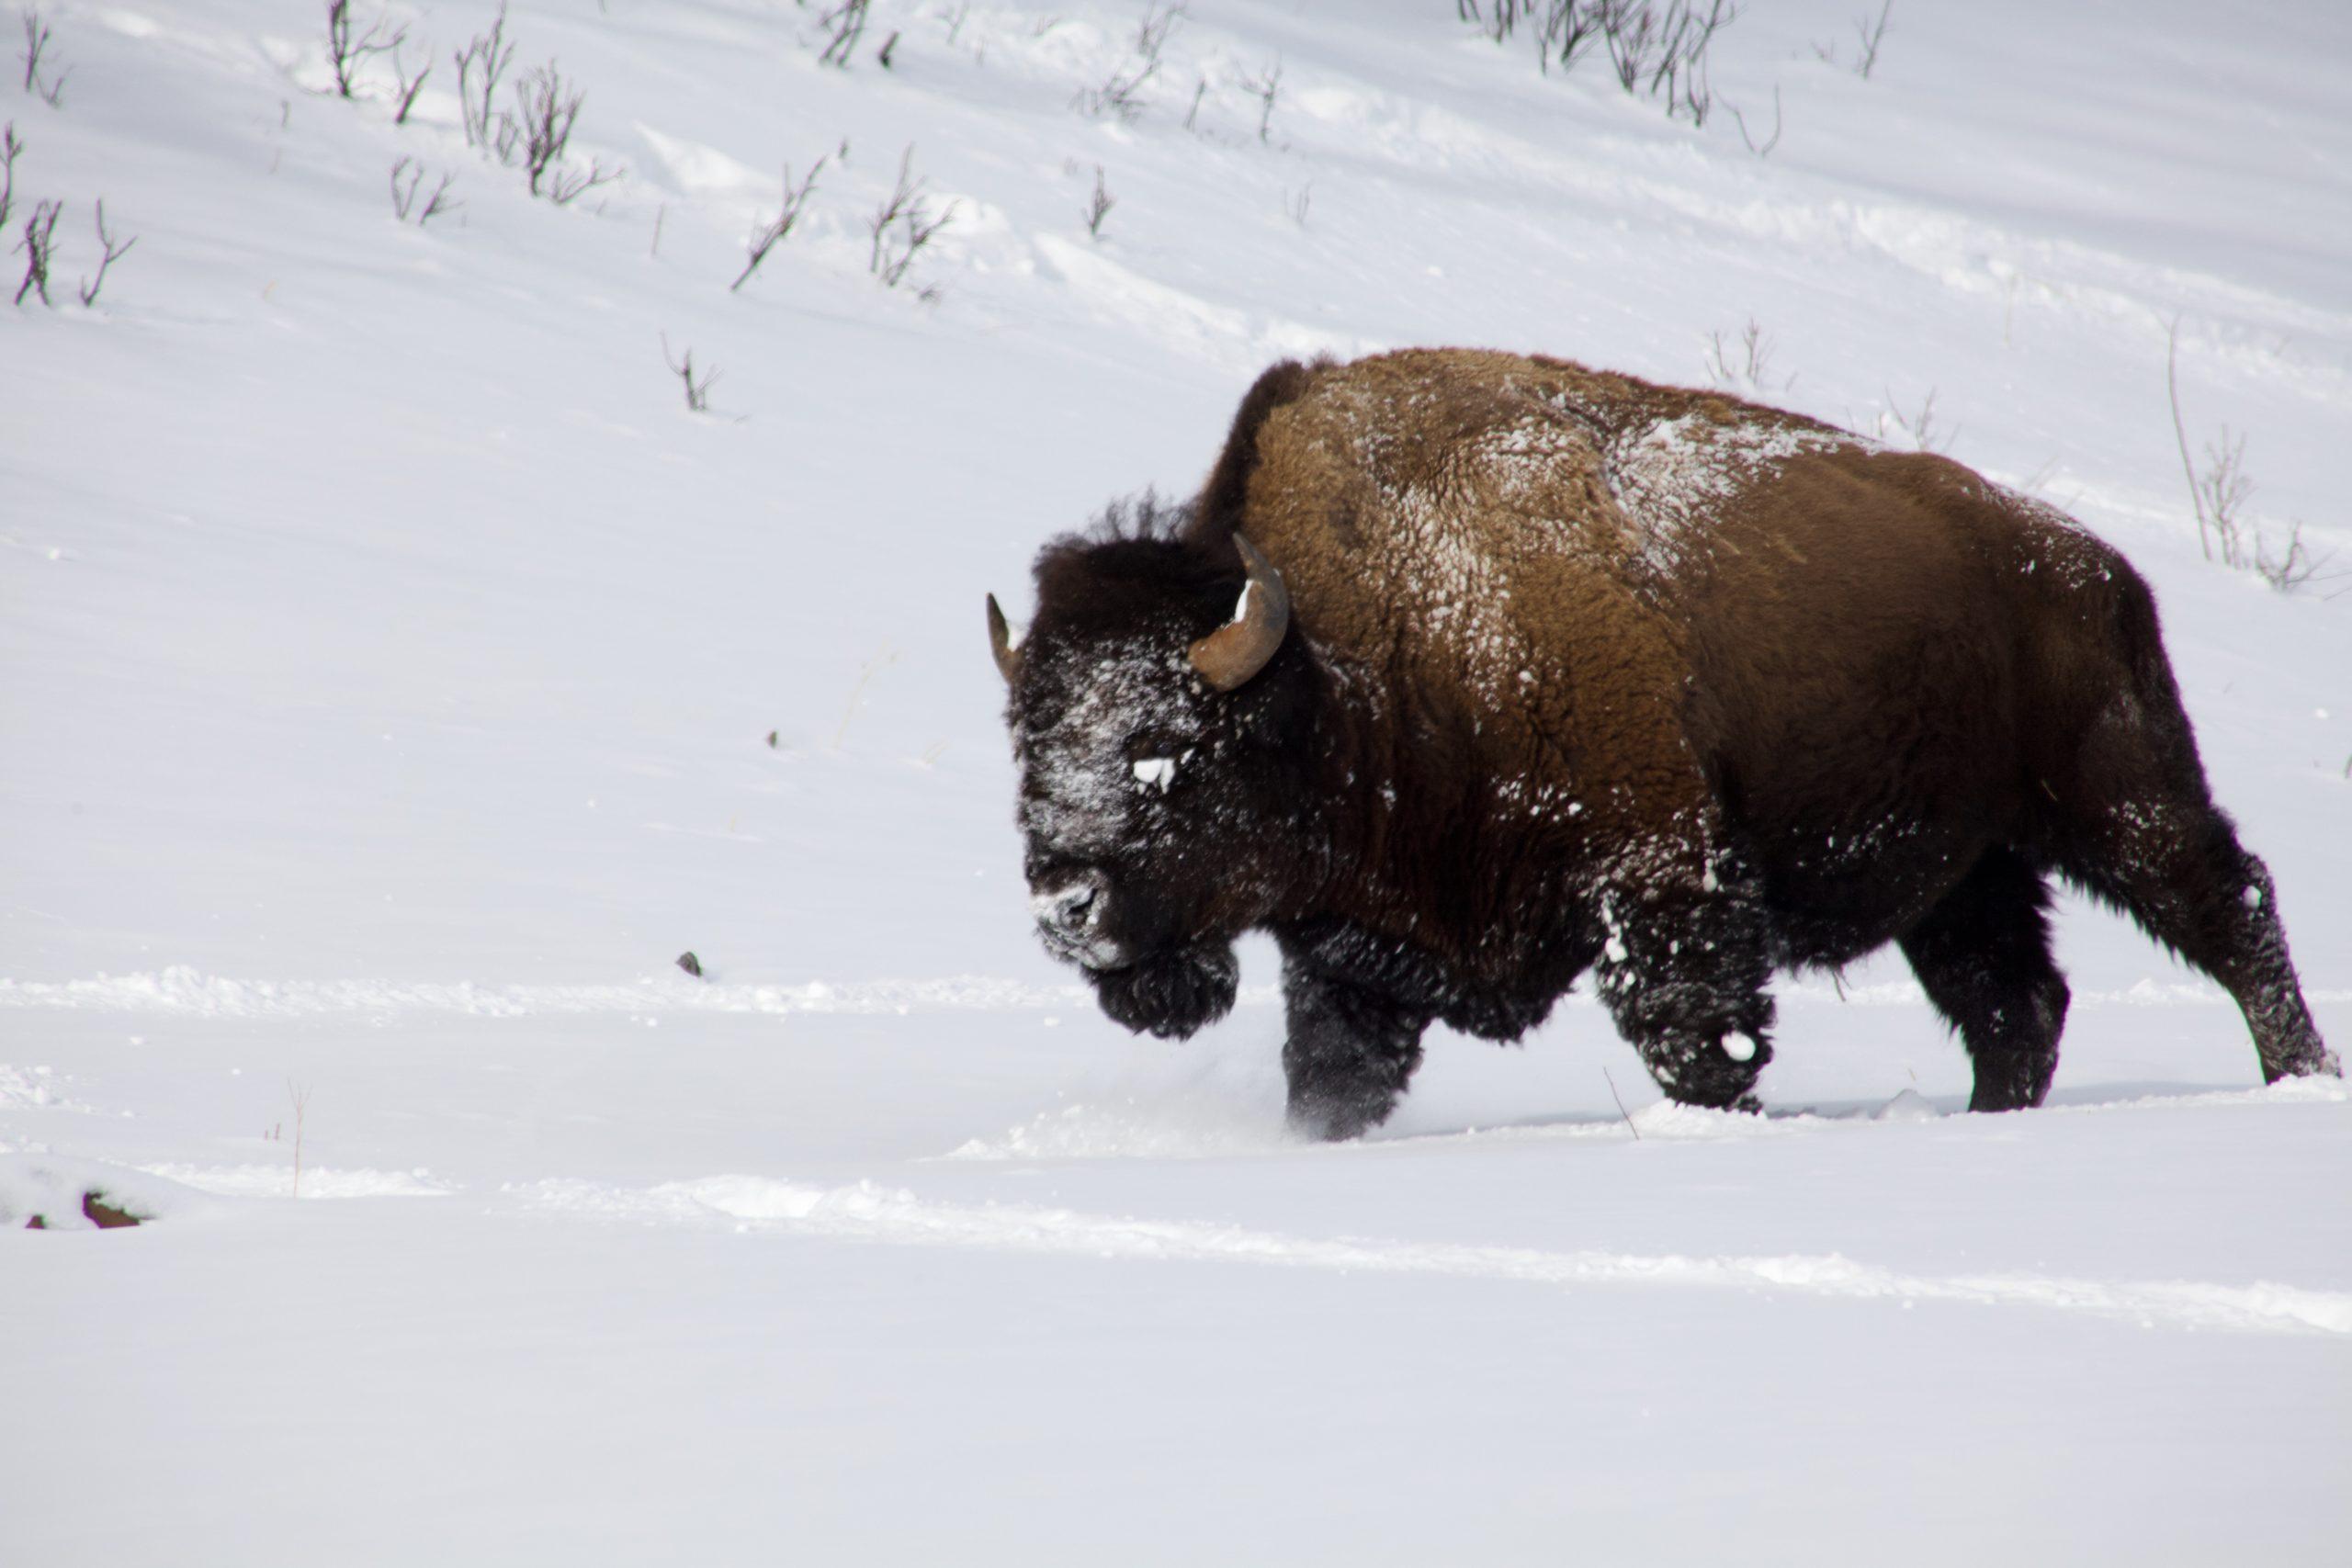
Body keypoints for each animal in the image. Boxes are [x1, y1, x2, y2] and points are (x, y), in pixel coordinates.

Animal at [978, 352, 2333, 1142]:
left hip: (2119, 798)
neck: (1350, 654)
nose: (1065, 904)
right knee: (2015, 1001)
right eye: (1026, 744)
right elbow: (1336, 1073)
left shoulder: (1664, 876)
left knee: (2230, 908)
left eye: (1165, 749)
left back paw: (2300, 1082)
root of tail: (2094, 566)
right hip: (1965, 873)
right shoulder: (1358, 948)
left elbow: (1699, 1037)